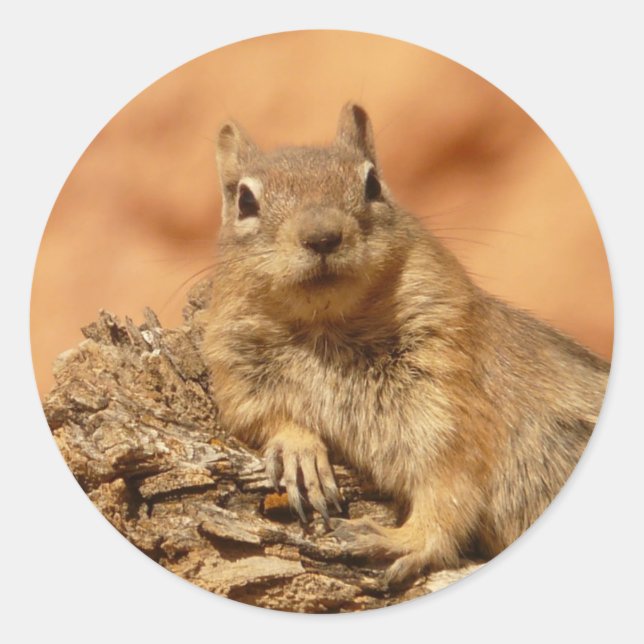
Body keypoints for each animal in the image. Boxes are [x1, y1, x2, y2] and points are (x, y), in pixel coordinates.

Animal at [202, 103, 610, 587]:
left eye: (373, 184)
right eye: (245, 201)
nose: (322, 236)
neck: (326, 330)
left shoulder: (450, 400)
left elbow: (449, 490)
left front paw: (400, 539)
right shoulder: (237, 372)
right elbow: (259, 416)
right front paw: (299, 450)